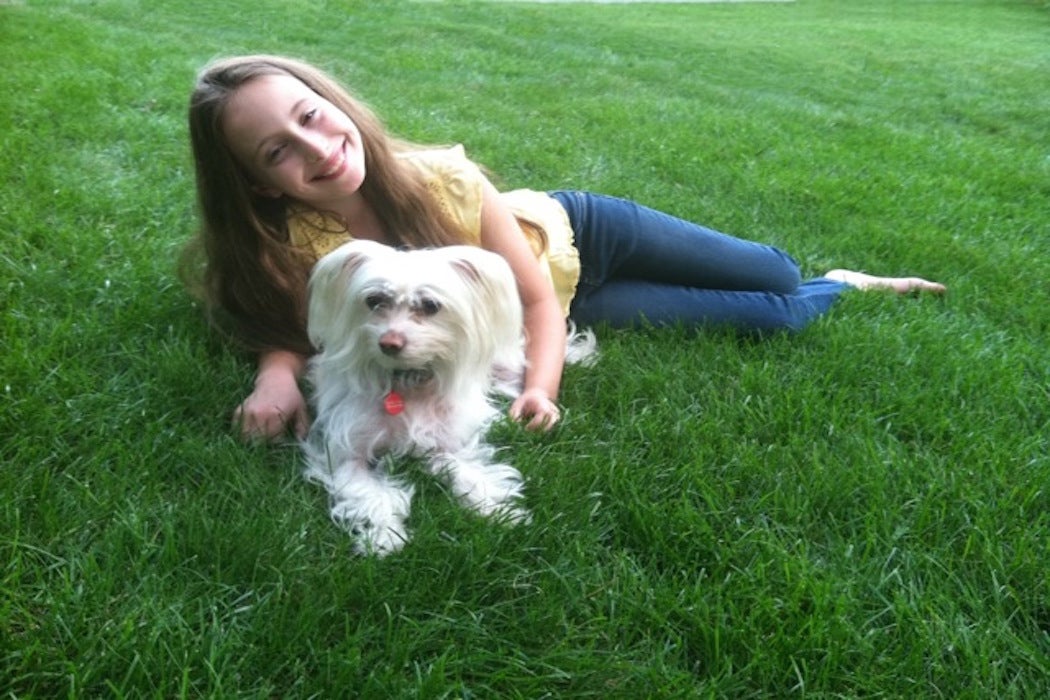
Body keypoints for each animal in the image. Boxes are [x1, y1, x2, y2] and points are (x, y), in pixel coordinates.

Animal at [300, 238, 596, 554]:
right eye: (374, 300)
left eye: (430, 305)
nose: (389, 343)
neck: (409, 384)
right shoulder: (347, 457)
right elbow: (372, 497)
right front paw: (384, 536)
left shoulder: (448, 447)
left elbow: (470, 475)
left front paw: (498, 511)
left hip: (508, 364)